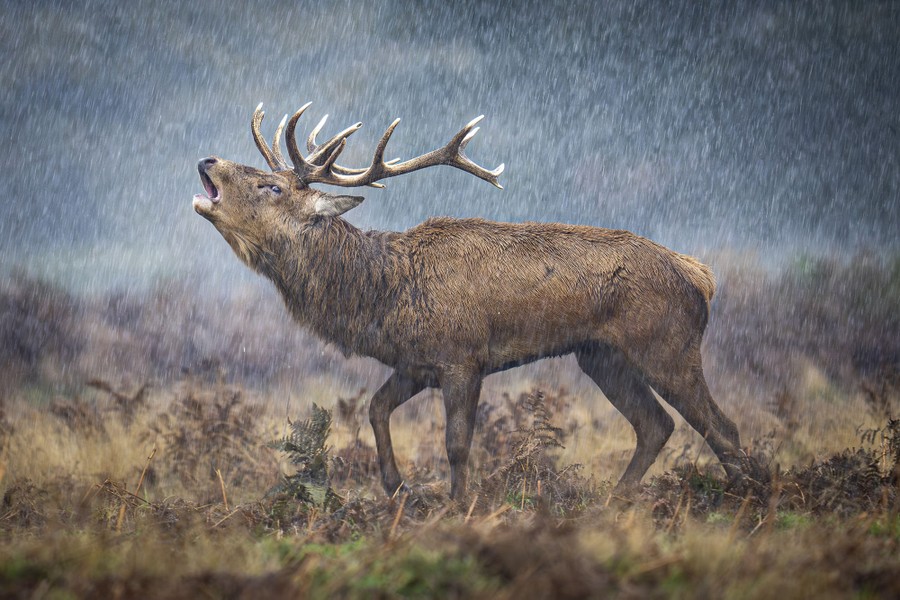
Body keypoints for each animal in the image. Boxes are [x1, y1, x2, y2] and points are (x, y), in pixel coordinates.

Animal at [193, 101, 755, 502]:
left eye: (271, 186)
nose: (207, 159)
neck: (383, 295)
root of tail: (699, 274)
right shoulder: (415, 363)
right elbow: (375, 408)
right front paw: (399, 489)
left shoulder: (463, 356)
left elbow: (457, 442)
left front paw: (458, 506)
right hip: (600, 356)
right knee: (656, 424)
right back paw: (613, 503)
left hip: (666, 343)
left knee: (721, 427)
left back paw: (746, 499)